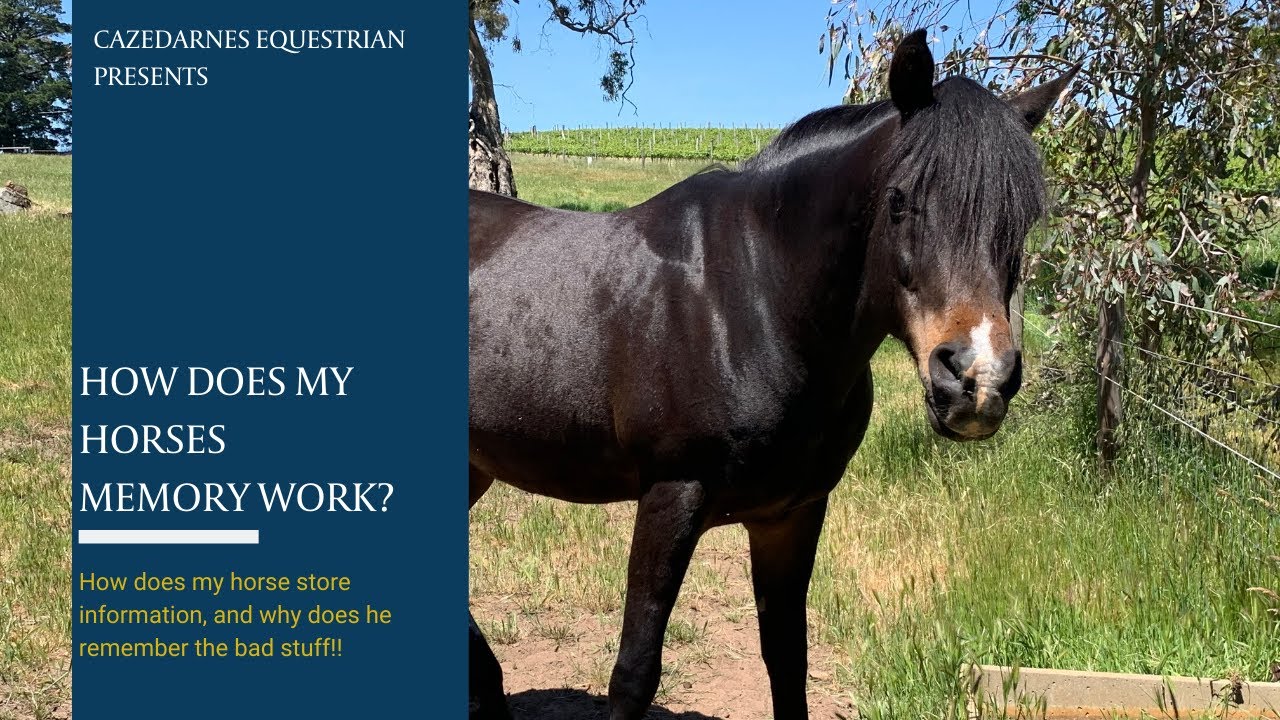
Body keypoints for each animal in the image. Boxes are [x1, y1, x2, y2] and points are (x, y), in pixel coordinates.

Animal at [468, 30, 1077, 720]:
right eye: (899, 202)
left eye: (1022, 217)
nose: (977, 379)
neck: (754, 301)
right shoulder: (670, 495)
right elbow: (634, 672)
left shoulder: (792, 514)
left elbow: (788, 659)